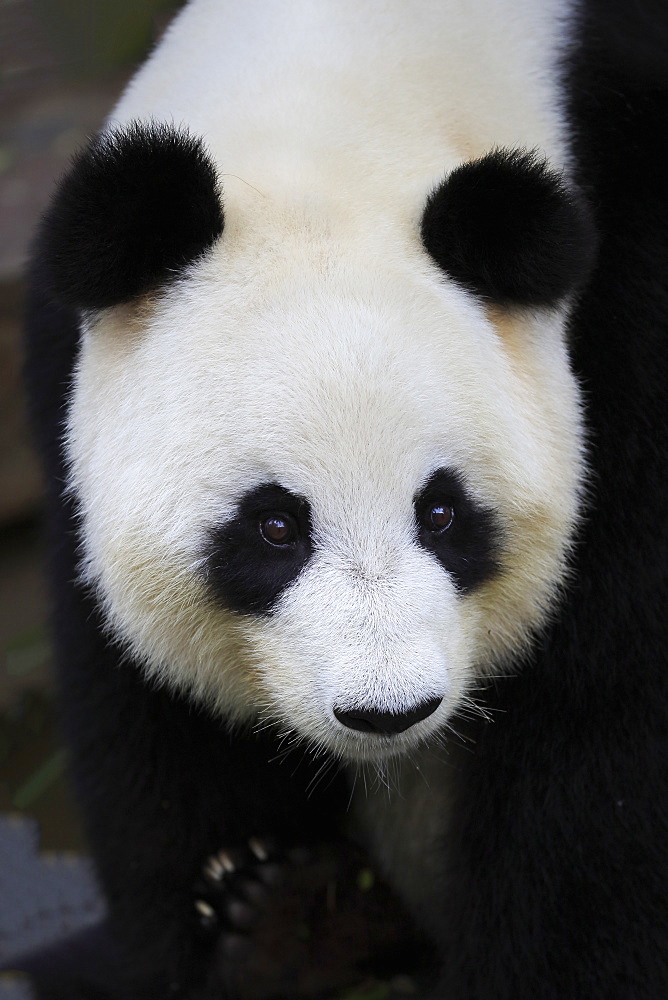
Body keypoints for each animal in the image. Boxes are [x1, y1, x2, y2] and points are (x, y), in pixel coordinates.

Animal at [20, 0, 668, 996]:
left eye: (441, 512)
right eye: (274, 527)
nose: (386, 711)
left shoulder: (636, 297)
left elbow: (608, 740)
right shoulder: (66, 369)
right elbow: (145, 723)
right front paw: (250, 924)